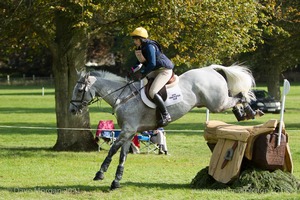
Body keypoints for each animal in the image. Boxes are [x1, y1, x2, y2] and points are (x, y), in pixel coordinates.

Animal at [69, 64, 258, 191]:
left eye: (79, 90)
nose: (71, 110)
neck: (123, 97)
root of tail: (210, 69)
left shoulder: (127, 131)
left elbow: (112, 150)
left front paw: (100, 173)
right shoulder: (129, 133)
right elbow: (122, 155)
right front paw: (116, 181)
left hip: (216, 103)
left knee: (239, 95)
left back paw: (249, 110)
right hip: (216, 102)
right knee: (235, 97)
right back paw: (243, 112)